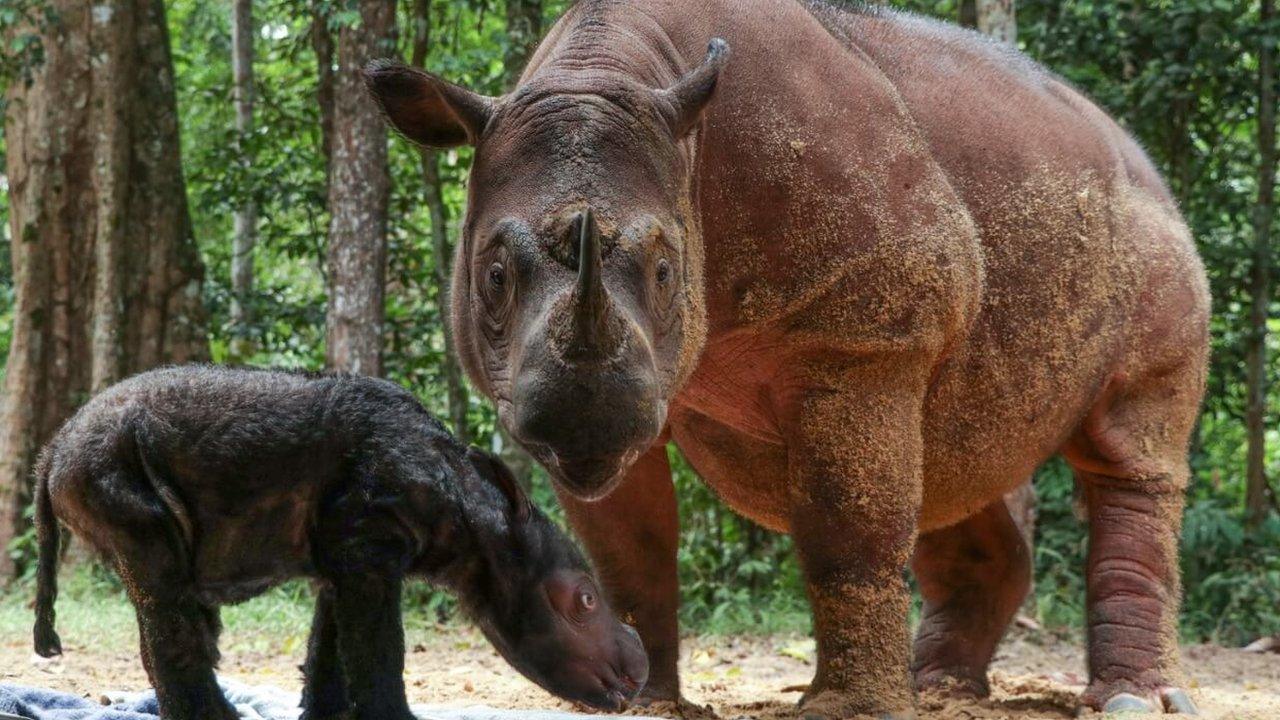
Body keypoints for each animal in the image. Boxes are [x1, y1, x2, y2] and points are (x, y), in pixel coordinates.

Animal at [30, 366, 650, 717]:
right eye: (585, 601)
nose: (640, 672)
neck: (475, 517)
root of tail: (52, 448)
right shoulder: (369, 541)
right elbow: (379, 649)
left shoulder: (348, 553)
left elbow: (329, 650)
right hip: (107, 467)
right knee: (162, 587)